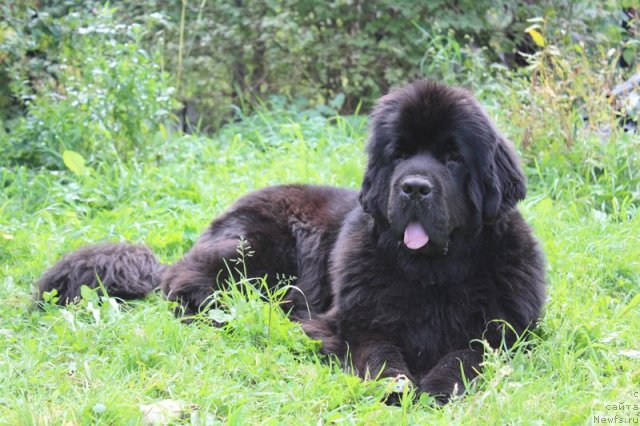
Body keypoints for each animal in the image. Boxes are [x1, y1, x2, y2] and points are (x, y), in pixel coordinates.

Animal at [36, 80, 544, 402]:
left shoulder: (507, 334)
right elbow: (379, 352)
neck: (434, 274)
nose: (414, 187)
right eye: (398, 154)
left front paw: (436, 387)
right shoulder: (353, 323)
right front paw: (395, 386)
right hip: (257, 248)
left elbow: (467, 356)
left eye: (453, 157)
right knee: (185, 283)